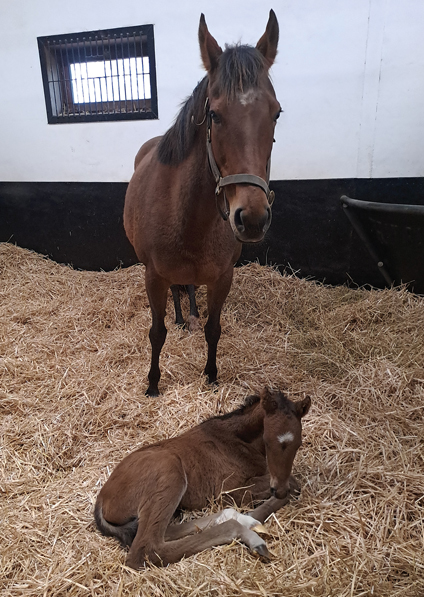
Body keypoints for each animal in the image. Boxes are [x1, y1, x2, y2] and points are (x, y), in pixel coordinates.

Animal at [94, 388, 310, 564]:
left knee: (164, 531)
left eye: (298, 443)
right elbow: (294, 482)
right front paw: (252, 516)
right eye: (267, 441)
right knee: (147, 550)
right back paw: (247, 532)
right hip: (169, 471)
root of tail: (101, 500)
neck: (235, 440)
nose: (279, 491)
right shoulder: (228, 490)